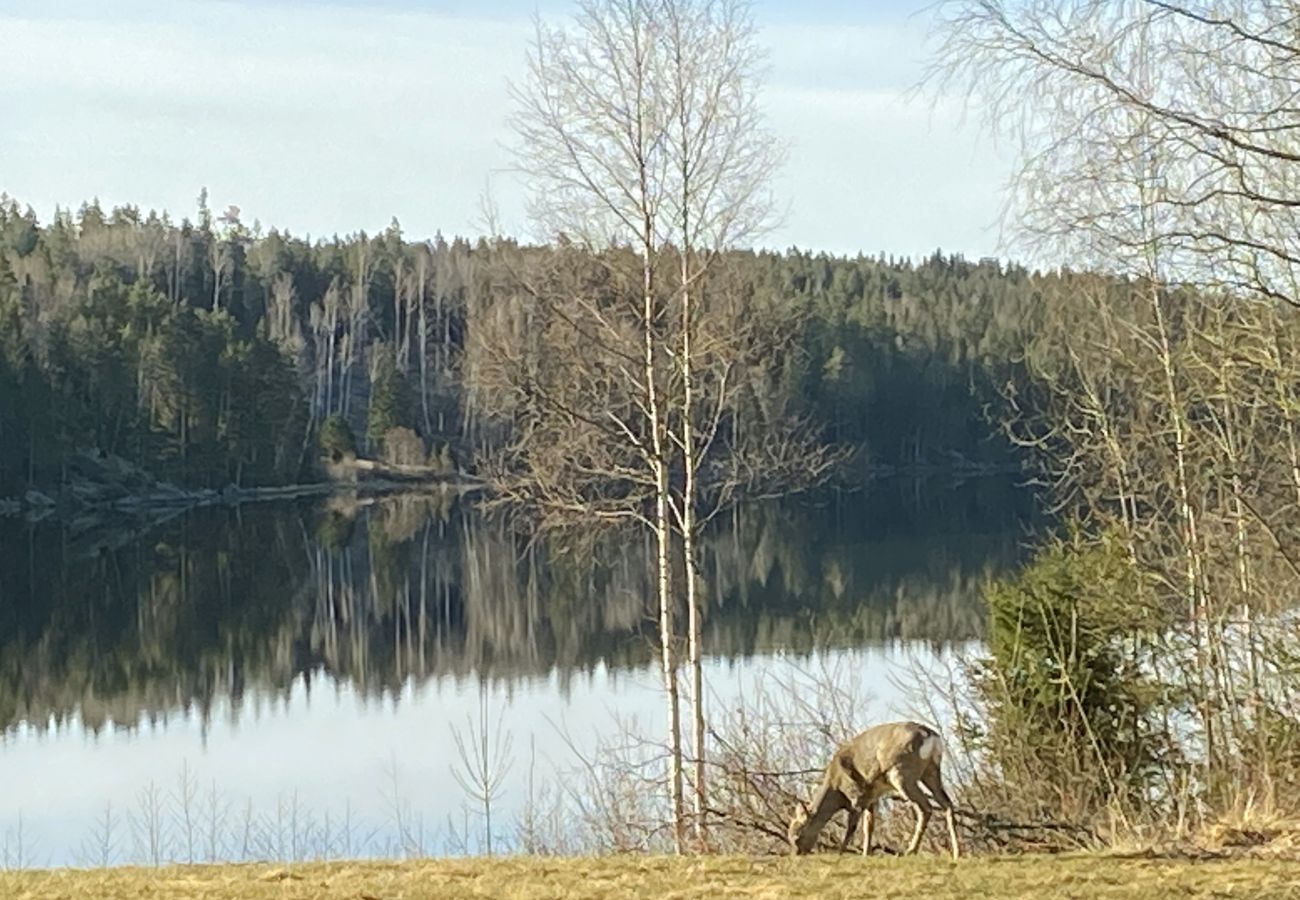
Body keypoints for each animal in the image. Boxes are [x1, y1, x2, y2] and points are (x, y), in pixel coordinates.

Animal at [785, 723, 961, 863]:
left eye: (797, 835)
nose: (796, 854)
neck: (836, 787)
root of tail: (930, 736)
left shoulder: (856, 794)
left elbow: (852, 826)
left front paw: (841, 854)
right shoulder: (872, 796)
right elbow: (868, 826)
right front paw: (865, 854)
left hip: (901, 774)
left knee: (925, 807)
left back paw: (910, 851)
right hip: (931, 771)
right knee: (947, 804)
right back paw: (957, 853)